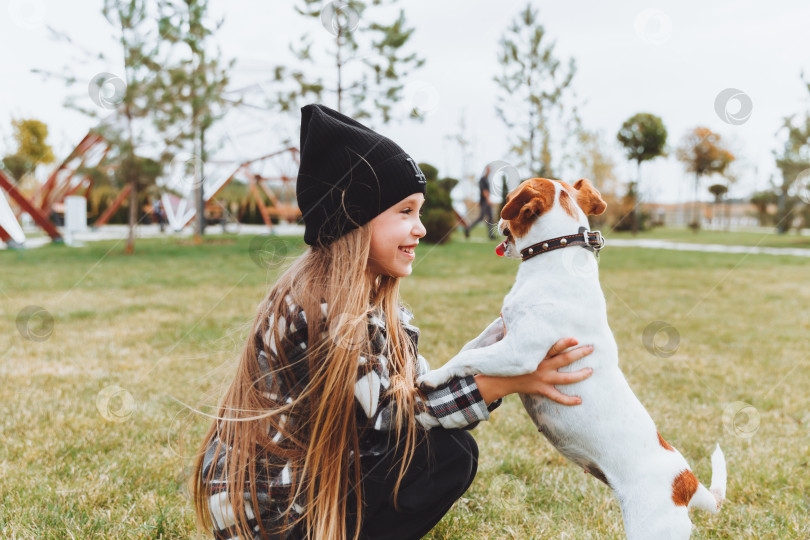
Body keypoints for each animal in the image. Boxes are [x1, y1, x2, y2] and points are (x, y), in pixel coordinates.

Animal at [416, 179, 724, 536]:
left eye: (509, 202)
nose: (496, 222)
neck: (556, 251)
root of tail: (687, 482)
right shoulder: (502, 330)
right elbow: (470, 348)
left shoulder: (520, 351)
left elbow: (467, 359)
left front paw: (431, 378)